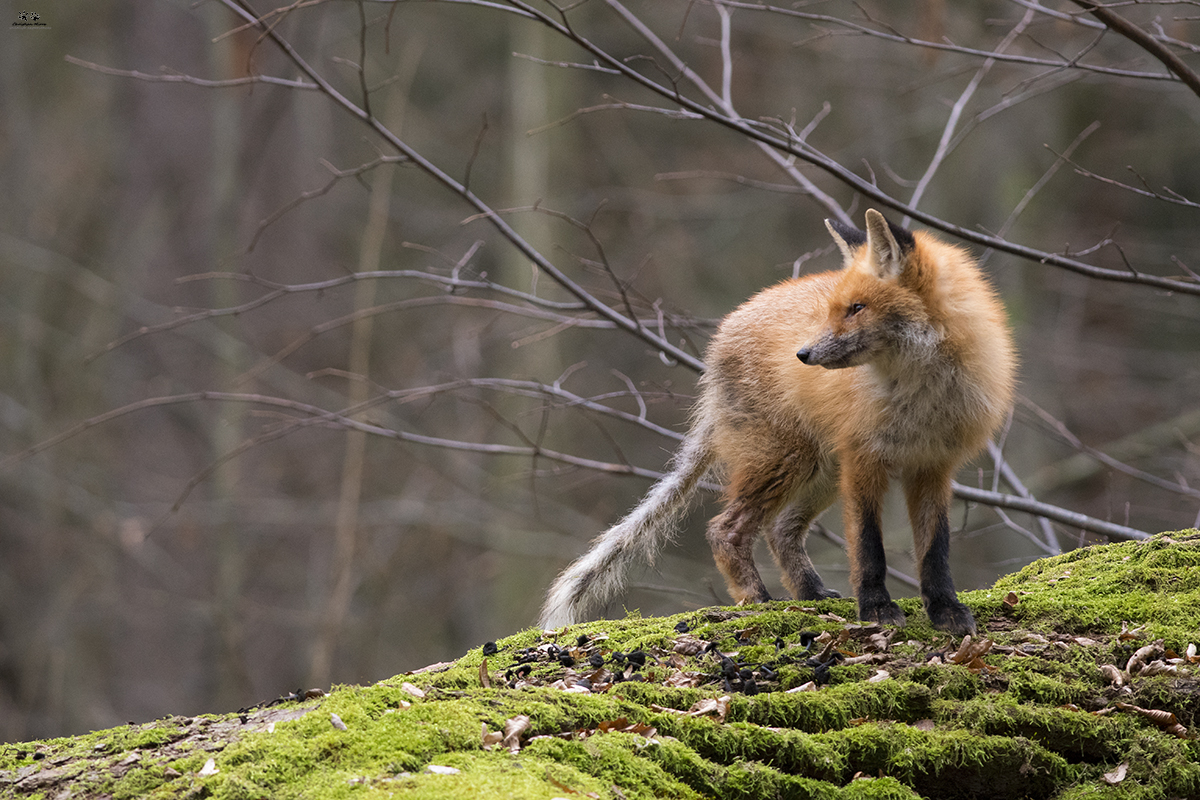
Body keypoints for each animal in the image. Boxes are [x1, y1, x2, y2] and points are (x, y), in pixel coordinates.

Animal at [540, 209, 1017, 633]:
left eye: (857, 308)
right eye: (835, 310)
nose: (803, 354)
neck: (919, 397)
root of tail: (723, 332)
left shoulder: (933, 466)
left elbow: (935, 550)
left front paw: (945, 611)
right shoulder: (864, 459)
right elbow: (869, 548)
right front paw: (877, 609)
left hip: (820, 470)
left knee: (780, 530)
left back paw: (809, 592)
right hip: (786, 461)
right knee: (725, 529)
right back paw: (757, 599)